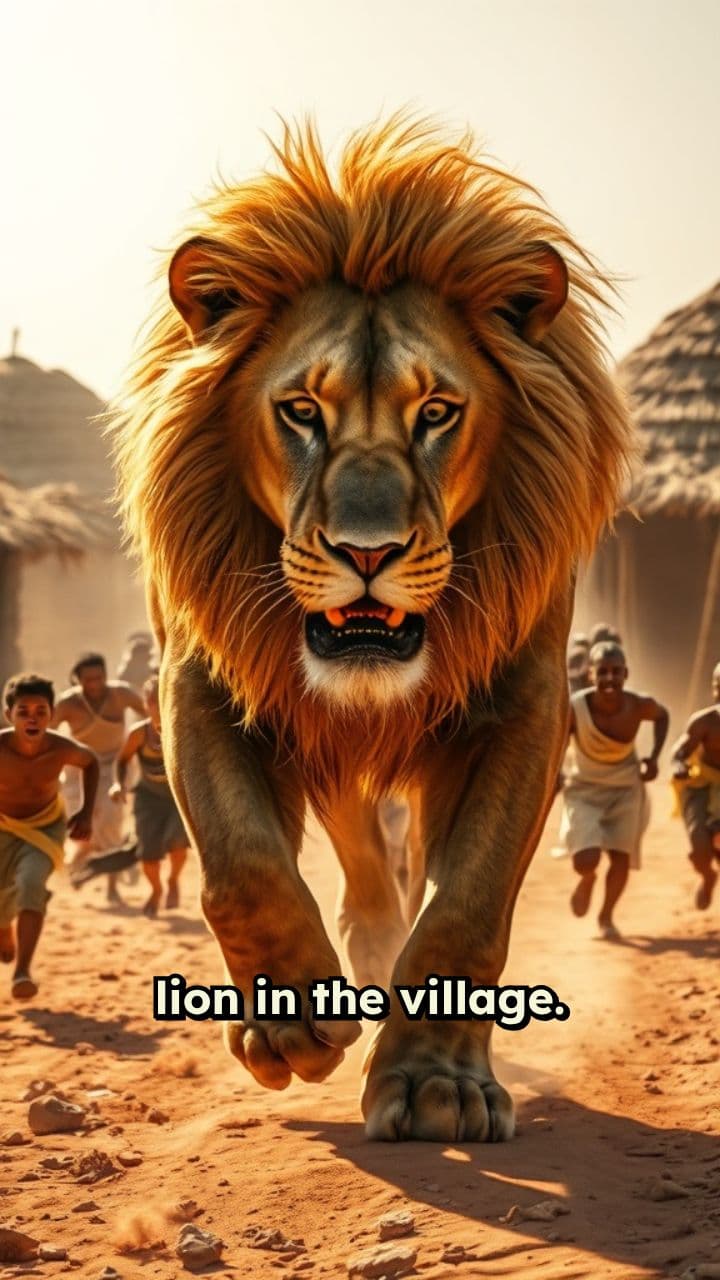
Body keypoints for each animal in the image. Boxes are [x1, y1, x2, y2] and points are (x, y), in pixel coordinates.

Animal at [114, 117, 631, 1142]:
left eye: (436, 411)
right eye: (299, 411)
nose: (367, 551)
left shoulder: (523, 702)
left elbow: (468, 902)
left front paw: (440, 1084)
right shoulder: (203, 680)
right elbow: (242, 864)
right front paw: (291, 1025)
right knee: (357, 854)